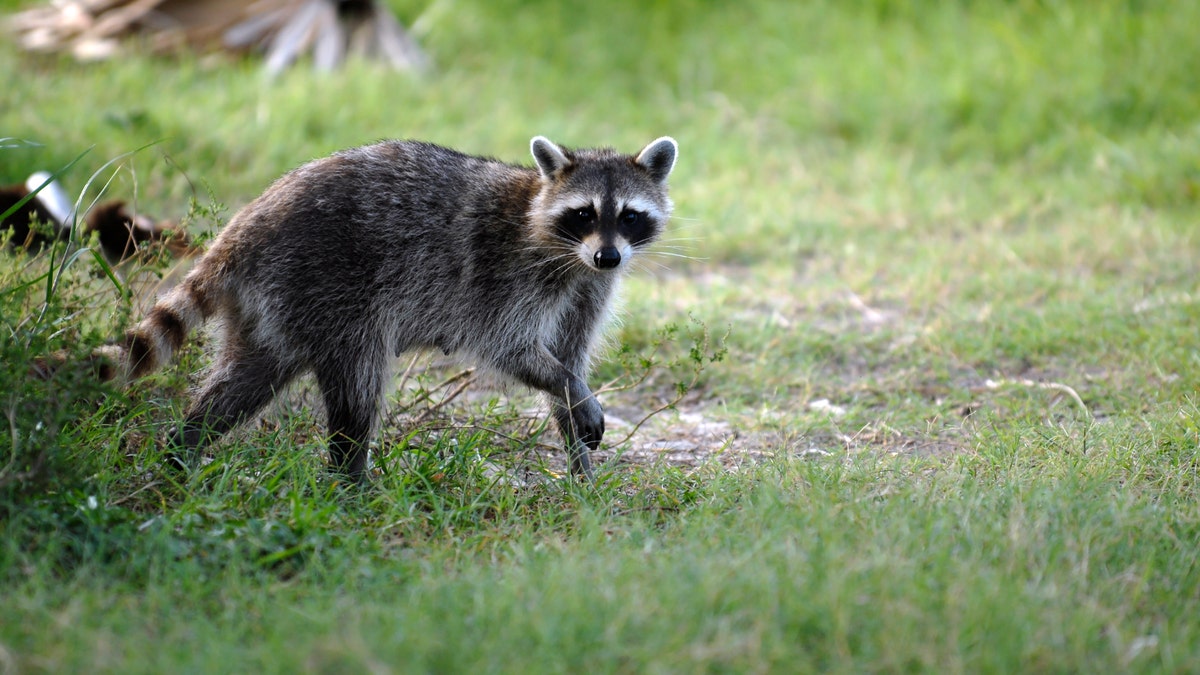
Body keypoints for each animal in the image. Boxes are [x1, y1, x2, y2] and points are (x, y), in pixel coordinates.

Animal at [120, 135, 679, 482]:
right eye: (583, 213)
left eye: (629, 216)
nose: (609, 257)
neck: (565, 249)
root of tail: (246, 224)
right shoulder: (505, 275)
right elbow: (512, 348)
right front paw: (572, 393)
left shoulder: (588, 290)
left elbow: (568, 357)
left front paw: (581, 465)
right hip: (328, 285)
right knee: (358, 387)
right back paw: (350, 477)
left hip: (273, 305)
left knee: (245, 379)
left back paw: (183, 447)